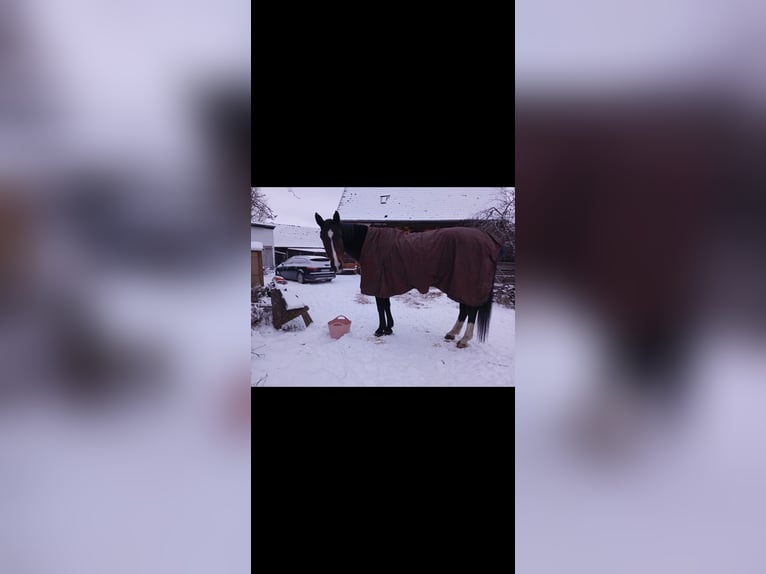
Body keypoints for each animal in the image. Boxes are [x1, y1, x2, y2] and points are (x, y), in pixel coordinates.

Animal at [315, 211, 502, 347]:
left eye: (340, 235)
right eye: (322, 236)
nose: (337, 266)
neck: (368, 243)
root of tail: (487, 238)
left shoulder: (378, 283)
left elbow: (380, 307)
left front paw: (380, 330)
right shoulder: (384, 284)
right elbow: (386, 305)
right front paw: (389, 328)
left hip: (468, 284)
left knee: (471, 310)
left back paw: (464, 339)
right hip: (459, 284)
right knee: (464, 309)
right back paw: (452, 334)